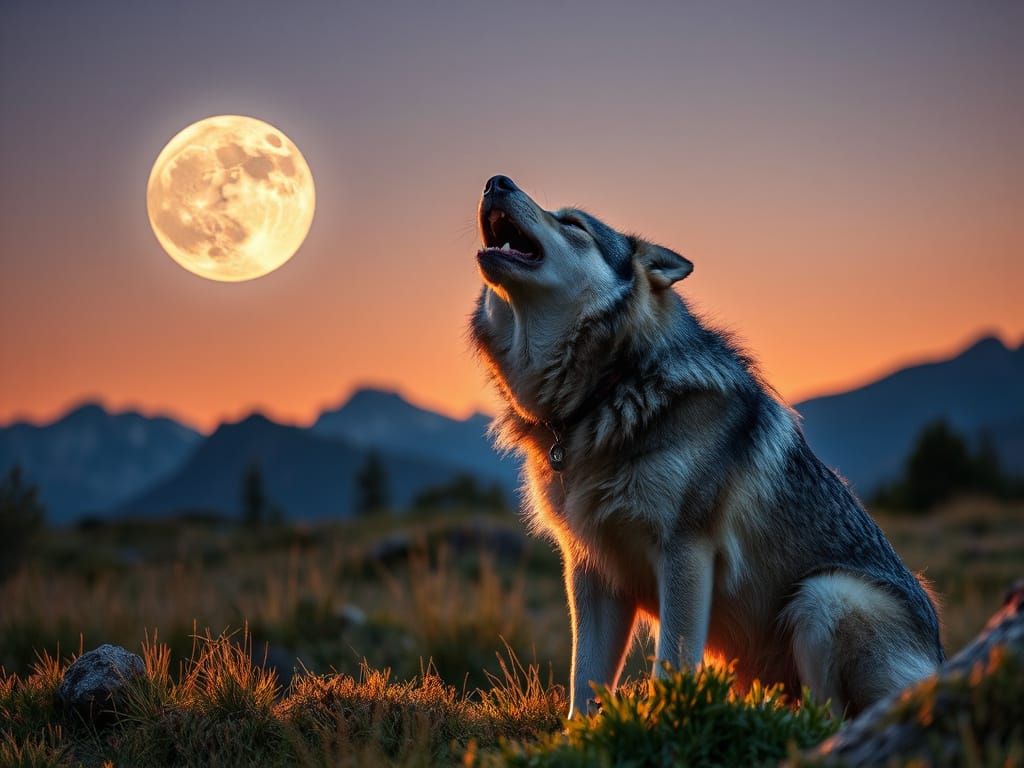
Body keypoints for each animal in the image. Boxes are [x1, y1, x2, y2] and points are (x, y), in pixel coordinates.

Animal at [468, 175, 944, 719]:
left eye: (573, 223)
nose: (496, 181)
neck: (607, 390)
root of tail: (940, 663)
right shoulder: (590, 568)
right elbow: (583, 681)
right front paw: (578, 734)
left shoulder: (686, 552)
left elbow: (670, 664)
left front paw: (663, 723)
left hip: (825, 595)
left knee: (827, 714)